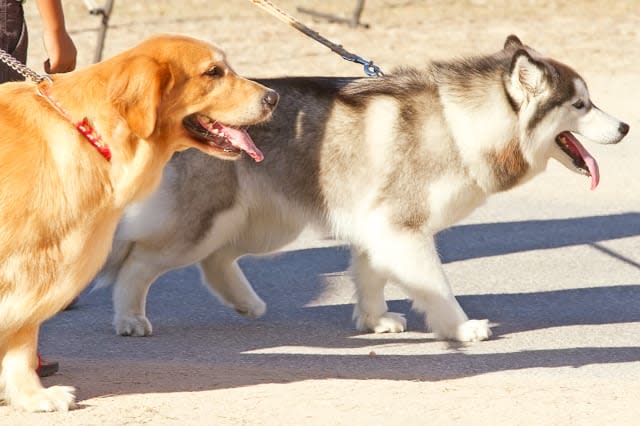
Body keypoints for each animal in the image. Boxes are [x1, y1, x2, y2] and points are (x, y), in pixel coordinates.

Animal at [96, 35, 632, 342]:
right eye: (581, 105)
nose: (626, 127)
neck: (459, 124)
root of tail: (183, 118)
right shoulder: (403, 228)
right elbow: (436, 286)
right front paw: (460, 328)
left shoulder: (378, 225)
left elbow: (372, 276)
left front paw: (373, 321)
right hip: (205, 221)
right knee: (139, 262)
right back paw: (129, 318)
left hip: (263, 222)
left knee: (216, 259)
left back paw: (245, 302)